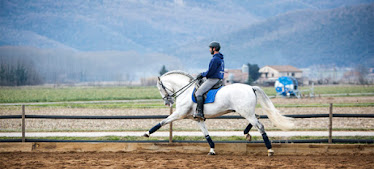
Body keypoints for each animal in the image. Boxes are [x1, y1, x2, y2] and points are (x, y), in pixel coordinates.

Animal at [145, 70, 294, 156]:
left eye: (160, 87)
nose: (167, 102)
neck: (186, 91)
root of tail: (251, 87)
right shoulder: (198, 119)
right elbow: (206, 134)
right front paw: (212, 150)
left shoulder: (179, 114)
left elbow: (163, 121)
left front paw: (147, 133)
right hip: (246, 112)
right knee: (257, 119)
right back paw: (247, 133)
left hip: (246, 112)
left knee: (260, 126)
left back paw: (269, 149)